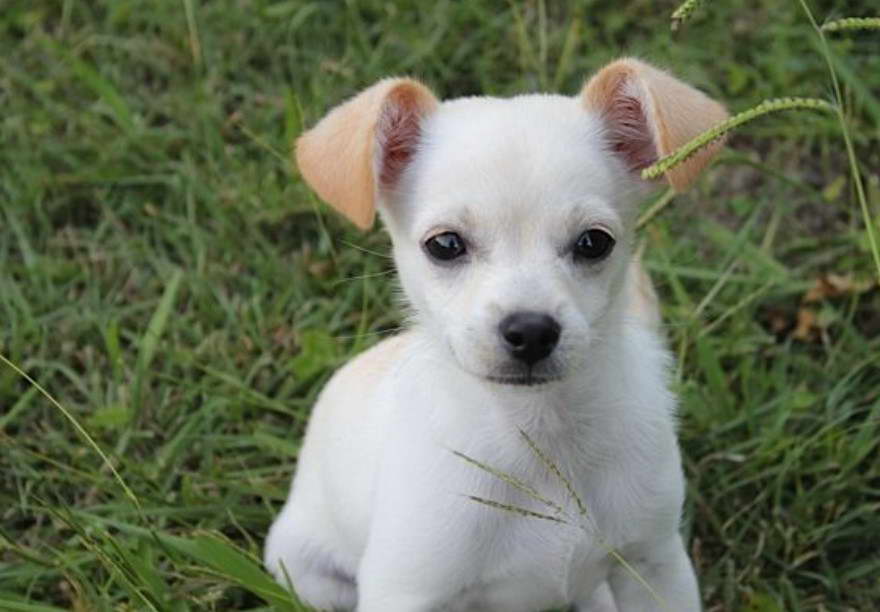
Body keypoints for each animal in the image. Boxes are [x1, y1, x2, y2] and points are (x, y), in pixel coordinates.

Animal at [262, 58, 728, 612]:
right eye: (444, 245)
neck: (541, 433)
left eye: (594, 243)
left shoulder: (654, 565)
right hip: (302, 569)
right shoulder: (408, 588)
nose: (530, 331)